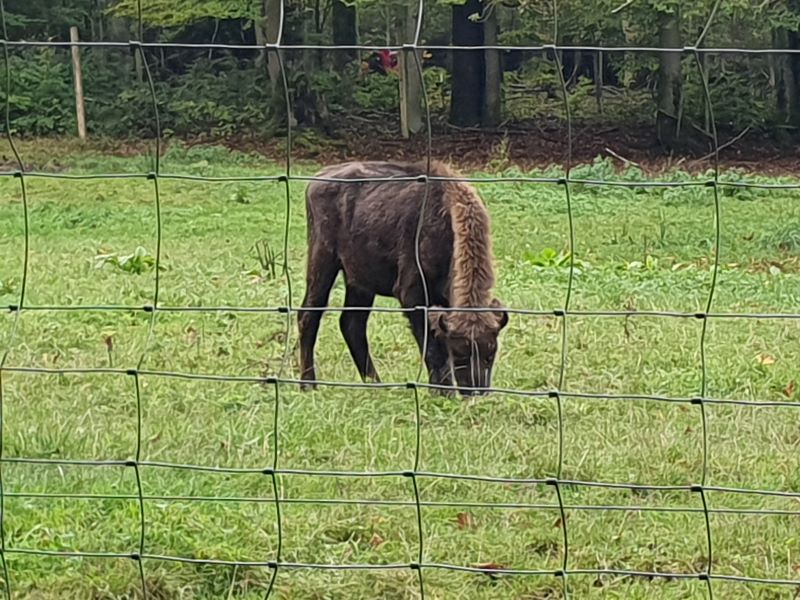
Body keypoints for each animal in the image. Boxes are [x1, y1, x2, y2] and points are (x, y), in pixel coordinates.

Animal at [296, 159, 510, 396]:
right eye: (460, 354)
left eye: (490, 354)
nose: (476, 392)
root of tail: (318, 178)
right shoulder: (412, 295)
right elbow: (432, 348)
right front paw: (443, 392)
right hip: (322, 262)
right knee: (309, 315)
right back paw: (309, 384)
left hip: (360, 282)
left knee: (352, 324)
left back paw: (376, 384)